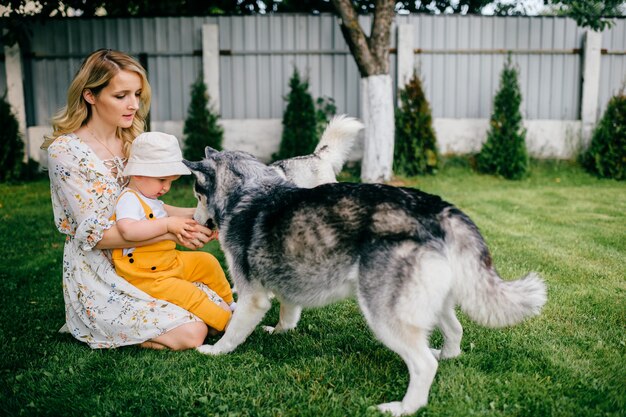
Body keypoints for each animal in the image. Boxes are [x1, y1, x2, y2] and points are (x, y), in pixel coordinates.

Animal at [183, 149, 544, 412]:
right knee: (454, 332)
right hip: (431, 302)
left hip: (383, 313)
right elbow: (289, 313)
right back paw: (448, 355)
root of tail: (436, 208)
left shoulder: (252, 296)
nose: (195, 220)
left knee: (423, 365)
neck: (249, 191)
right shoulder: (289, 279)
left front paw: (215, 351)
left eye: (197, 195)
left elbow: (233, 331)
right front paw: (282, 331)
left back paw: (405, 407)